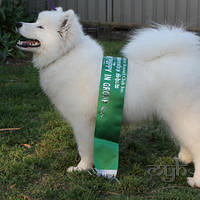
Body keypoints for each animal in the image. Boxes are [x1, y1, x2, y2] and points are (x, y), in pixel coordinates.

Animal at [16, 6, 200, 188]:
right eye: (36, 21)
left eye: (40, 27)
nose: (18, 23)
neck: (65, 55)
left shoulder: (82, 122)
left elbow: (84, 148)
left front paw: (81, 168)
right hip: (172, 119)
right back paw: (183, 159)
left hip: (182, 118)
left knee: (196, 146)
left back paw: (195, 180)